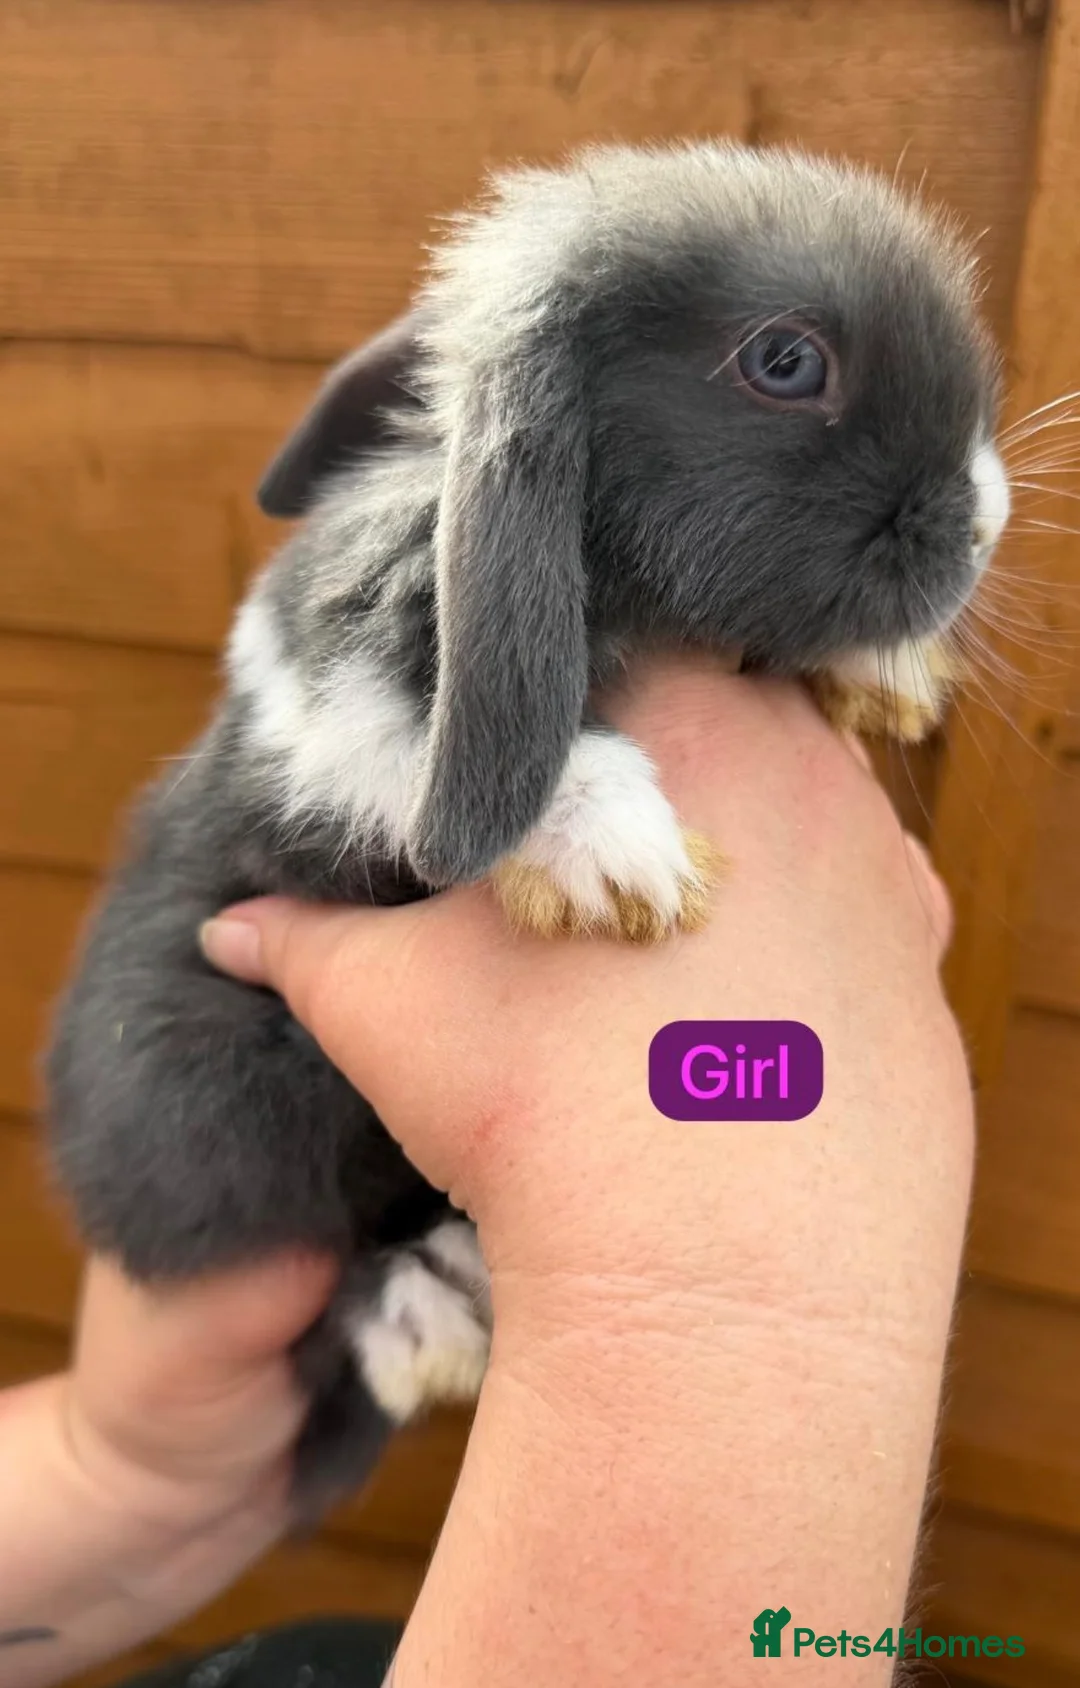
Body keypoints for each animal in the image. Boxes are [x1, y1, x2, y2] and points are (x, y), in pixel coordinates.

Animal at [45, 141, 1011, 1518]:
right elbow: (430, 743)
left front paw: (890, 673)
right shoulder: (333, 705)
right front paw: (623, 863)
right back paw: (428, 1320)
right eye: (785, 360)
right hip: (228, 1109)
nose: (985, 518)